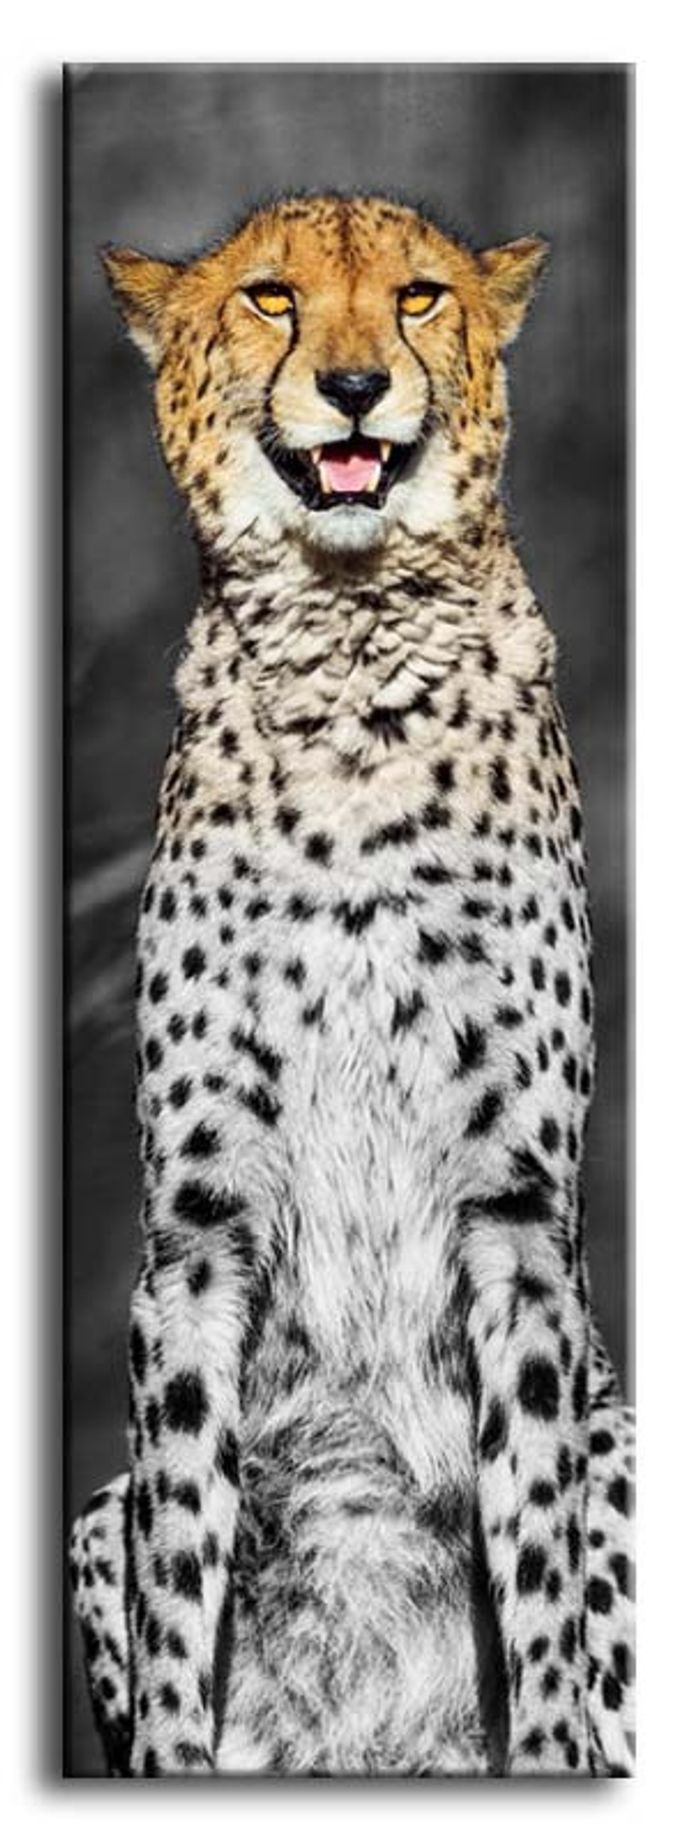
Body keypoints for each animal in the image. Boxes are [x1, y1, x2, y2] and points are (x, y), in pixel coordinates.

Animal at [69, 192, 635, 1777]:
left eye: (420, 296)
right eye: (271, 297)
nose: (357, 385)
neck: (350, 650)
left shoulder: (516, 1219)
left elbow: (541, 1559)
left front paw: (550, 1750)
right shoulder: (194, 1238)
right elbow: (182, 1575)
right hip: (86, 1519)